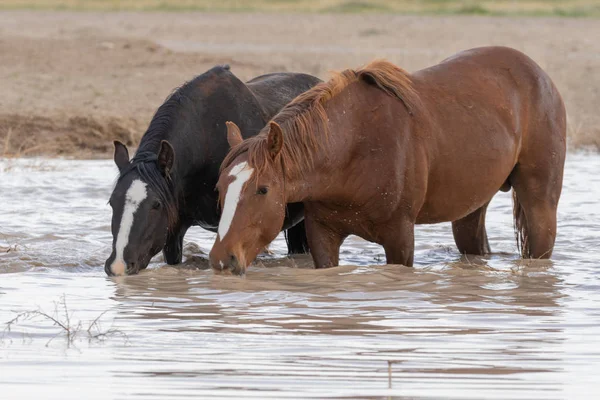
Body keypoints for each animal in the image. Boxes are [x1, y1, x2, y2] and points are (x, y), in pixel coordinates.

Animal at [210, 45, 568, 274]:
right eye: (220, 190)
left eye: (263, 190)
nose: (223, 259)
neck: (352, 149)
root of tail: (541, 77)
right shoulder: (322, 236)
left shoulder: (399, 236)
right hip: (471, 208)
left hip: (540, 205)